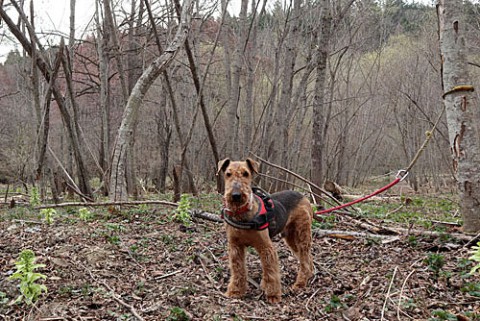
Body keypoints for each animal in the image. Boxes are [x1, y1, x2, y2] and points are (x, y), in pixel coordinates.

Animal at [217, 158, 314, 302]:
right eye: (228, 174)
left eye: (245, 173)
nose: (236, 195)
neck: (242, 215)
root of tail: (303, 196)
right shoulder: (235, 247)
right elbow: (238, 270)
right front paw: (235, 291)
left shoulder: (266, 247)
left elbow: (270, 271)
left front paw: (273, 295)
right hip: (291, 238)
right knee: (307, 258)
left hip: (302, 234)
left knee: (305, 261)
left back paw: (300, 283)